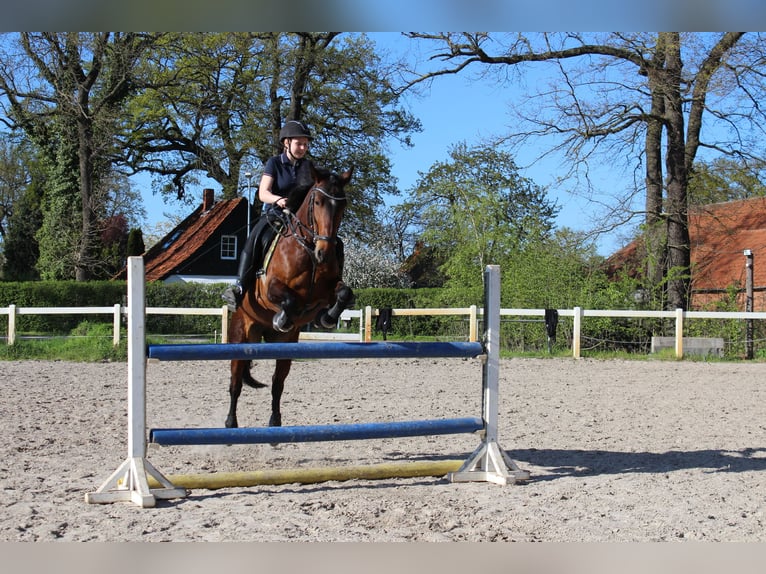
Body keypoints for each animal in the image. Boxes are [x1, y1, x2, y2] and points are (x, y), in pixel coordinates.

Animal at [226, 164, 356, 430]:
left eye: (343, 205)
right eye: (317, 202)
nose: (324, 253)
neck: (308, 247)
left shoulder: (327, 291)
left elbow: (343, 293)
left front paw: (326, 318)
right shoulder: (271, 288)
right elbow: (289, 299)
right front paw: (283, 318)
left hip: (285, 346)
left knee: (277, 383)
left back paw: (275, 422)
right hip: (240, 334)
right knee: (235, 384)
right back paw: (230, 424)